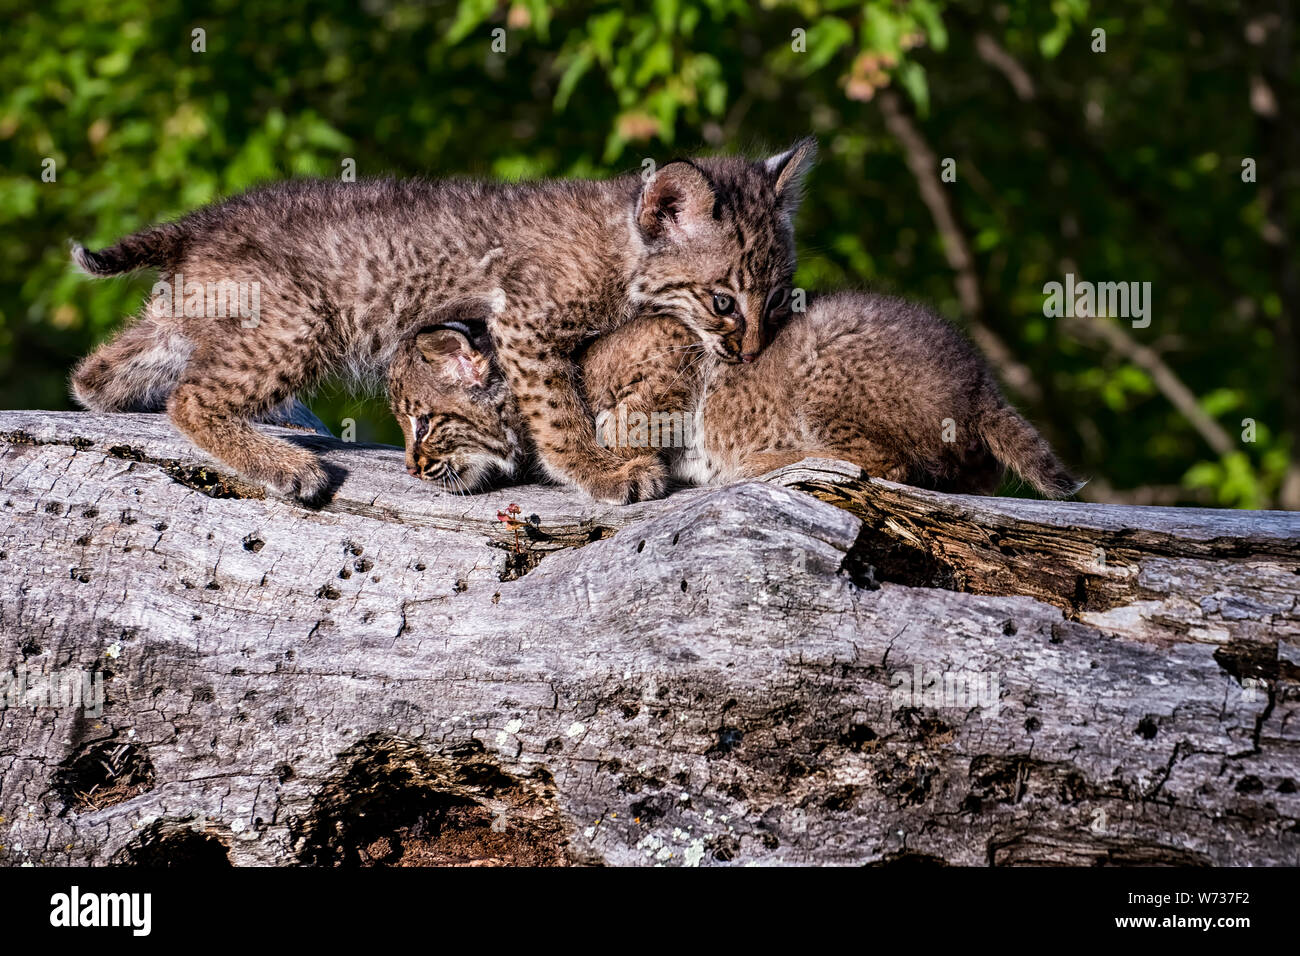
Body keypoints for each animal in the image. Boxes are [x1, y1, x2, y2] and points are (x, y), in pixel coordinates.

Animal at [71, 141, 811, 504]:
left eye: (779, 299)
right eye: (724, 302)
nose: (752, 351)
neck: (623, 244)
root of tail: (205, 218)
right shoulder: (525, 325)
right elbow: (556, 410)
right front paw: (600, 473)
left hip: (188, 316)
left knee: (98, 373)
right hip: (304, 319)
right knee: (191, 397)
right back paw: (285, 465)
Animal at [392, 291, 1076, 502]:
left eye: (423, 423)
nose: (414, 469)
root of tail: (979, 377)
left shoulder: (672, 339)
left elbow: (627, 416)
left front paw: (619, 462)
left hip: (821, 362)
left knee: (890, 466)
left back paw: (767, 466)